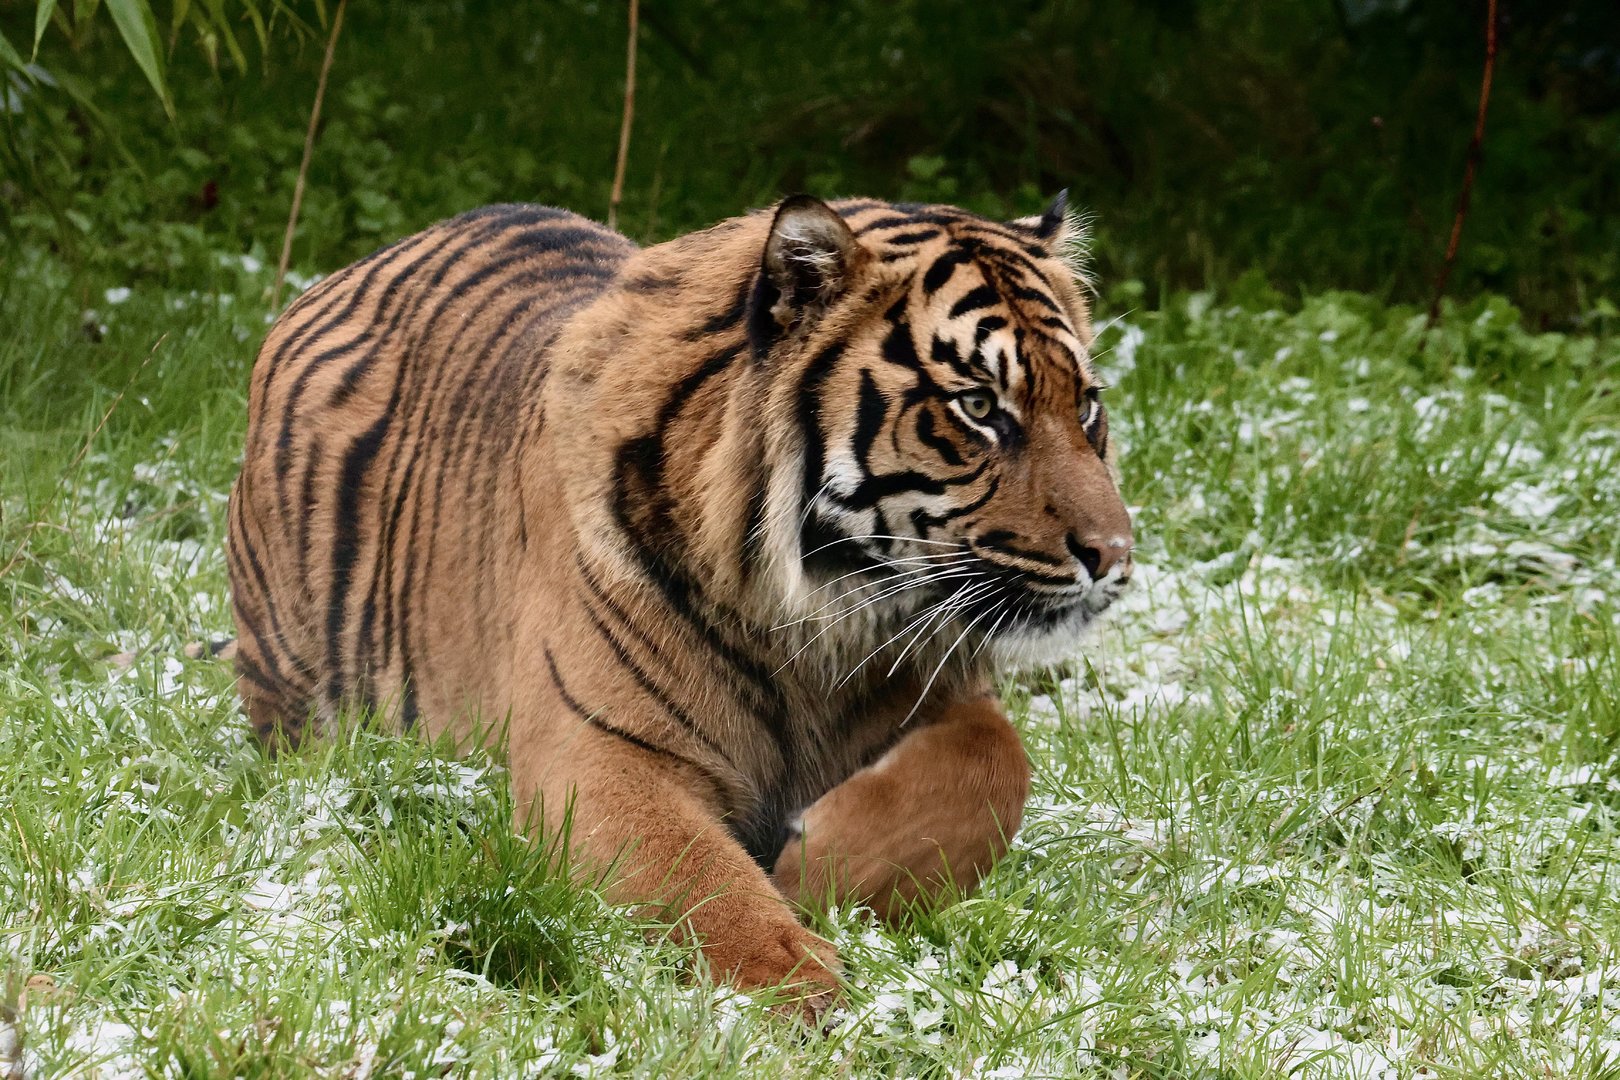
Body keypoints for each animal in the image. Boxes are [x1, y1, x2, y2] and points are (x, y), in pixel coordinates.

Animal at [226, 193, 1133, 1012]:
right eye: (978, 407)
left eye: (1086, 405)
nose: (1115, 556)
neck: (823, 624)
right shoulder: (599, 749)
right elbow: (696, 872)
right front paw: (796, 980)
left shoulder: (945, 682)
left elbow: (997, 762)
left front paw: (820, 871)